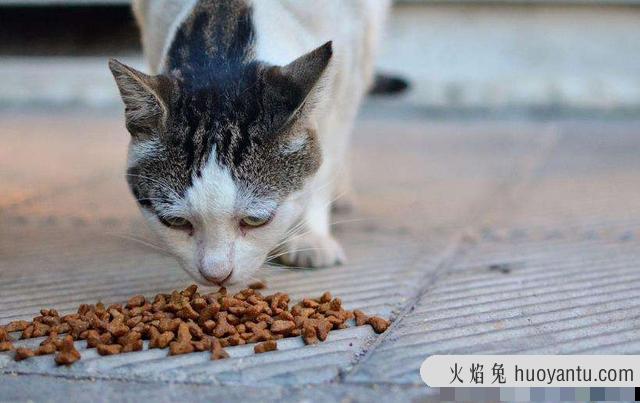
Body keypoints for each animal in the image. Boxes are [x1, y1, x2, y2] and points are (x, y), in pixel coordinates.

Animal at [110, 0, 390, 286]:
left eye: (255, 220)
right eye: (176, 221)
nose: (216, 275)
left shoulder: (349, 49)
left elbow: (329, 153)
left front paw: (308, 236)